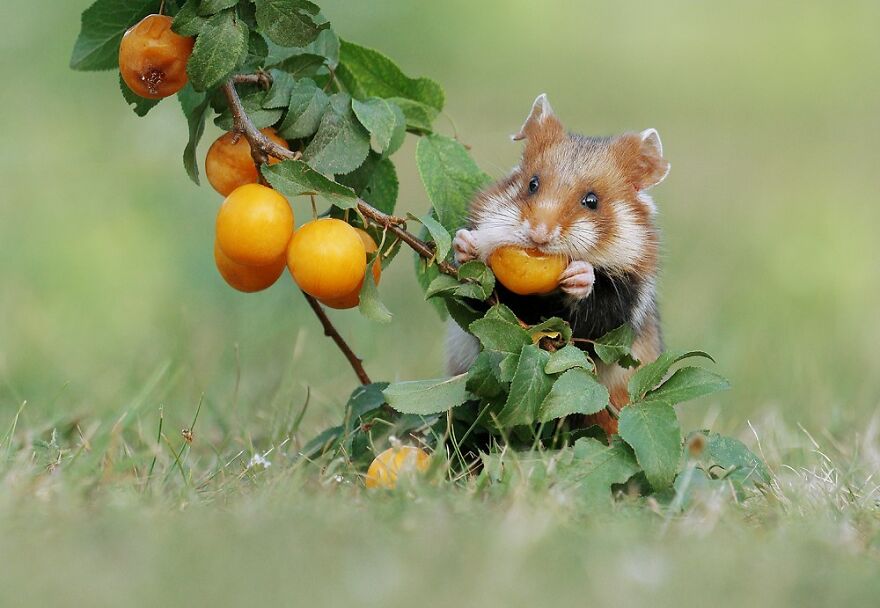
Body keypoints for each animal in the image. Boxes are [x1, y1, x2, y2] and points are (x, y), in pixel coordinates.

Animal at [447, 94, 670, 434]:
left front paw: (581, 275)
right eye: (532, 184)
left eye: (592, 201)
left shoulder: (624, 306)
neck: (545, 297)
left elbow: (595, 323)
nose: (539, 235)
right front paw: (466, 245)